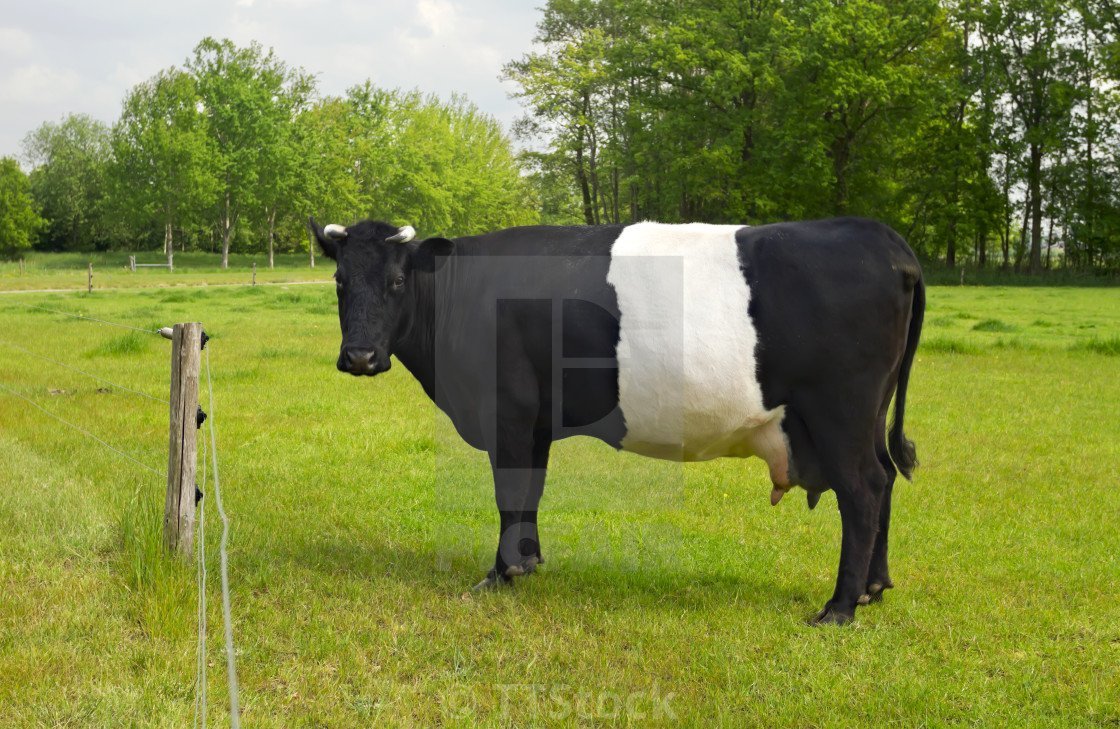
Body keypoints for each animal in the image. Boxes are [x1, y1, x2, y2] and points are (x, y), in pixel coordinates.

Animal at [308, 216, 924, 625]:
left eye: (396, 282)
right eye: (340, 282)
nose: (360, 356)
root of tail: (880, 236)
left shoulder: (507, 411)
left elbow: (509, 494)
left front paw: (500, 575)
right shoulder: (535, 421)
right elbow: (529, 494)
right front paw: (527, 564)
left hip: (840, 412)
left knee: (864, 490)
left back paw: (839, 608)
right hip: (866, 417)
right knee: (887, 480)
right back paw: (874, 588)